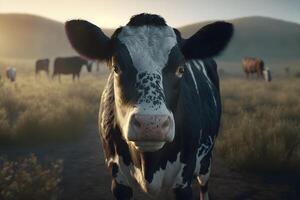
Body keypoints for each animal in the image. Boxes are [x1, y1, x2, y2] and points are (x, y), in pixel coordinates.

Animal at [65, 13, 234, 199]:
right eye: (116, 67)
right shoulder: (118, 180)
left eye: (181, 69)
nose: (151, 124)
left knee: (204, 184)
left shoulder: (184, 180)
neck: (149, 163)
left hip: (206, 161)